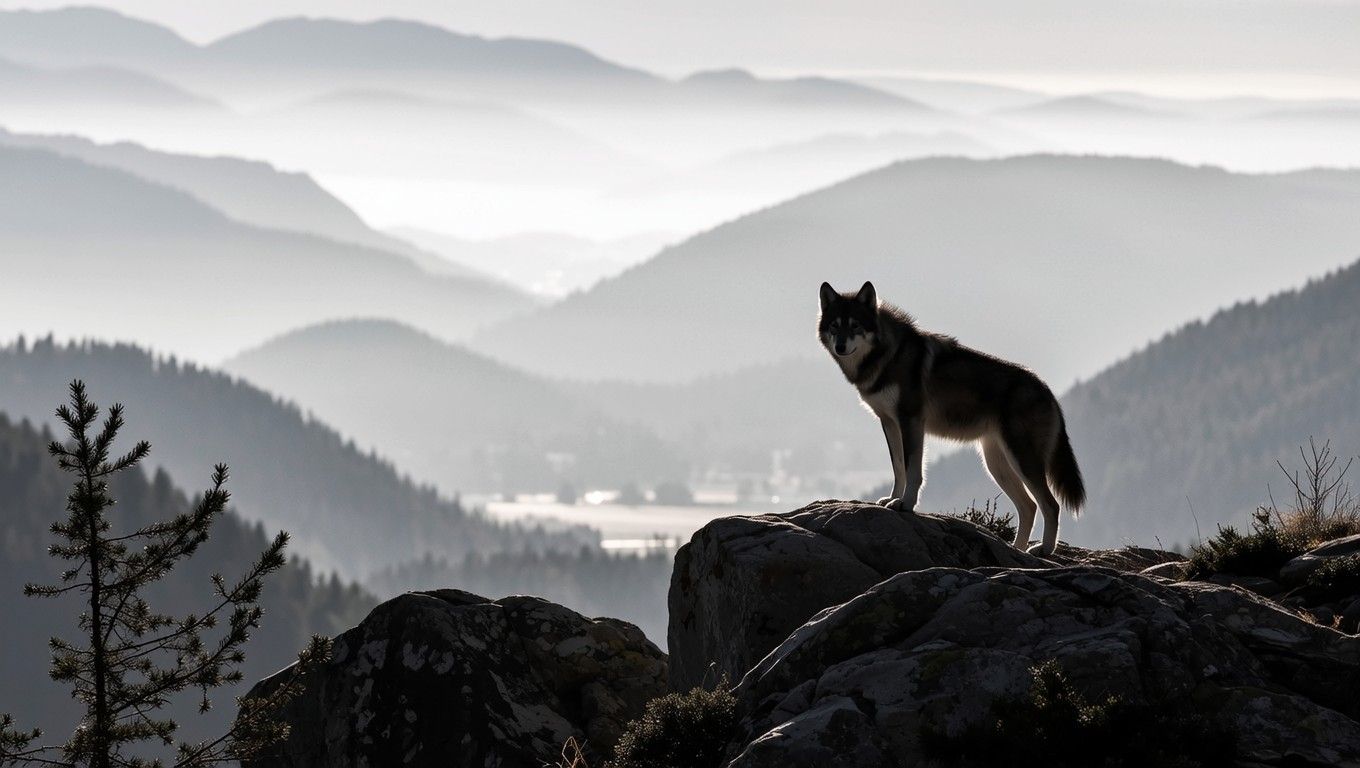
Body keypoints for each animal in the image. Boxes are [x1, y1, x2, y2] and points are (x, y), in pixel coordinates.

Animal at [818, 280, 1085, 555]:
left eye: (855, 325)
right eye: (835, 326)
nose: (840, 347)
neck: (889, 354)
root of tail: (1048, 391)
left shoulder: (911, 421)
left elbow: (912, 469)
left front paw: (906, 504)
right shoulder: (889, 422)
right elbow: (898, 467)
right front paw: (893, 498)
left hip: (1021, 460)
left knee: (1050, 505)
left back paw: (1043, 550)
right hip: (996, 464)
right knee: (1029, 507)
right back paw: (1017, 550)